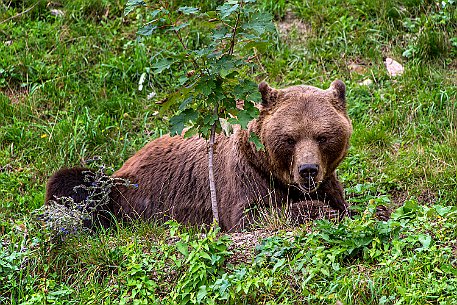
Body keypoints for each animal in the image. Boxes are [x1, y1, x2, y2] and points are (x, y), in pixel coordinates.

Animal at [46, 80, 350, 230]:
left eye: (323, 136)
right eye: (289, 138)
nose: (307, 170)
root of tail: (125, 164)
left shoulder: (327, 182)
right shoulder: (241, 178)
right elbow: (252, 215)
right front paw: (319, 211)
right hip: (121, 194)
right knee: (74, 184)